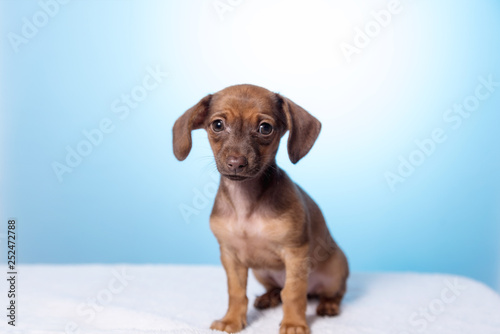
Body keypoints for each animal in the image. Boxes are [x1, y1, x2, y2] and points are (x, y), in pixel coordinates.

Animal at [172, 84, 348, 334]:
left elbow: (294, 293)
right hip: (260, 271)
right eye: (217, 125)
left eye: (265, 128)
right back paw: (268, 298)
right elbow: (236, 292)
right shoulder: (230, 256)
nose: (236, 163)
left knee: (334, 292)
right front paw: (231, 320)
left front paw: (294, 323)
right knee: (277, 289)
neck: (246, 203)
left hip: (335, 270)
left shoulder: (295, 253)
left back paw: (329, 305)